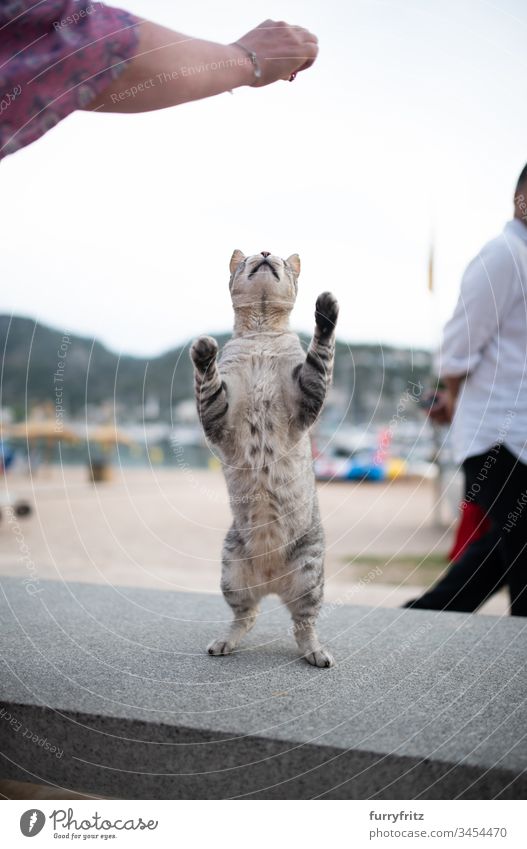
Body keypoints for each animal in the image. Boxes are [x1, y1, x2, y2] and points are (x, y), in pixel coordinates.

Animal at [192, 248, 340, 664]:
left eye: (280, 258)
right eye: (249, 257)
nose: (264, 251)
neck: (259, 335)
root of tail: (272, 580)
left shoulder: (308, 392)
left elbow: (321, 354)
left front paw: (326, 313)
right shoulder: (218, 415)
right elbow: (208, 384)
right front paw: (203, 353)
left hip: (309, 576)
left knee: (304, 624)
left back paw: (316, 652)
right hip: (232, 571)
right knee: (247, 615)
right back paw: (225, 641)